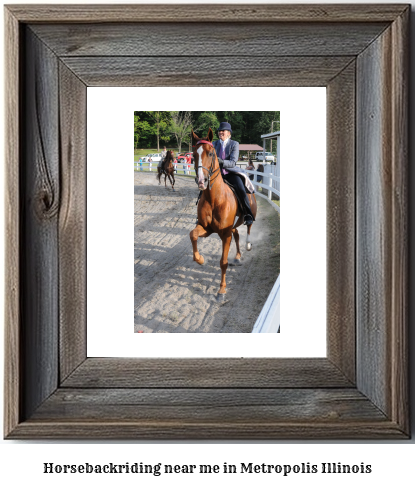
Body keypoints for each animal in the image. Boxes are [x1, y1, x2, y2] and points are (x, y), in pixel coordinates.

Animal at [189, 127, 256, 300]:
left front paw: (221, 291)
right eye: (194, 154)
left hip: (250, 213)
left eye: (211, 154)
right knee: (237, 233)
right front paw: (200, 259)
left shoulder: (225, 234)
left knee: (249, 226)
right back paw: (237, 257)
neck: (214, 198)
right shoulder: (207, 229)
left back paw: (248, 245)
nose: (202, 181)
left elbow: (223, 262)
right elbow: (193, 235)